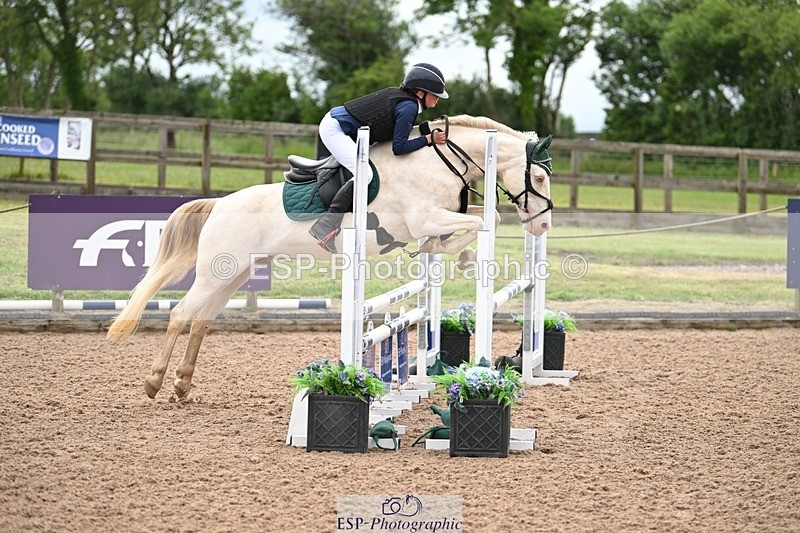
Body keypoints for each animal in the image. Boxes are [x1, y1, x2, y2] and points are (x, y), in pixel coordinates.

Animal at [106, 115, 554, 399]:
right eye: (538, 176)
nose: (543, 225)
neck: (440, 160)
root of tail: (218, 204)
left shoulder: (439, 216)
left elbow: (482, 219)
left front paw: (452, 255)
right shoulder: (422, 217)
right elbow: (482, 219)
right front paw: (446, 252)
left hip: (232, 275)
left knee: (201, 321)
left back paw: (182, 386)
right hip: (216, 275)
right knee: (181, 314)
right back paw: (154, 382)